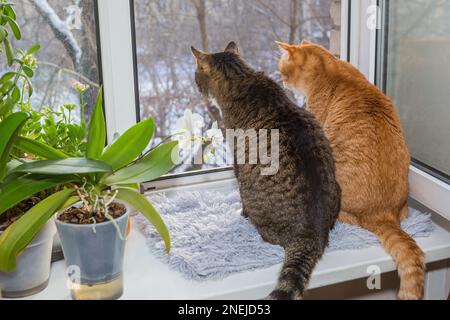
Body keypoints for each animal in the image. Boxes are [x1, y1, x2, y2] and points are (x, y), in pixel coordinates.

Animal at [191, 41, 342, 298]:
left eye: (196, 74)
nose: (195, 84)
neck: (239, 76)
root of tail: (312, 233)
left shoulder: (237, 157)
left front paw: (240, 213)